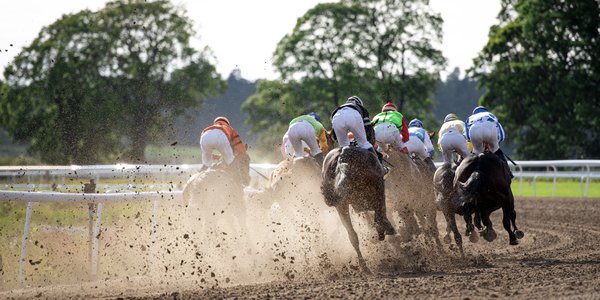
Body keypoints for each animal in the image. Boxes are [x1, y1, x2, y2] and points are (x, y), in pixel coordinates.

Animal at [322, 144, 396, 274]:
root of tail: (342, 156)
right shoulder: (379, 191)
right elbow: (380, 214)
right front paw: (385, 228)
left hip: (341, 206)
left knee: (352, 236)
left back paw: (364, 266)